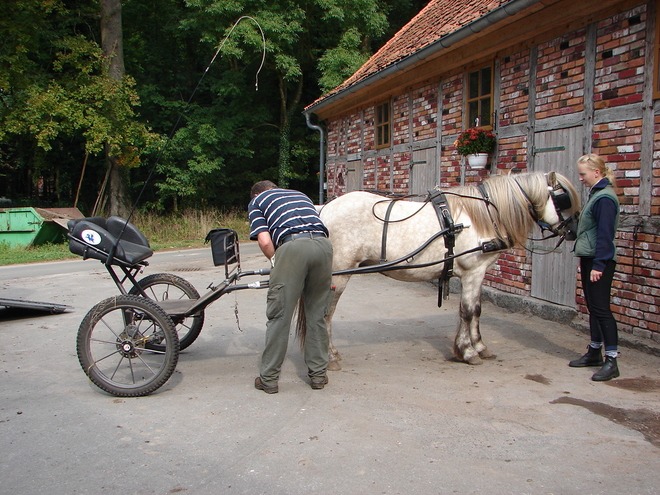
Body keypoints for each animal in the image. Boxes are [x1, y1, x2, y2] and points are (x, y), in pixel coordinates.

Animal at [298, 170, 576, 368]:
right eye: (563, 199)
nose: (572, 232)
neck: (482, 216)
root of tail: (324, 208)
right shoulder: (474, 272)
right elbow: (469, 311)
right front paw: (468, 351)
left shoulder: (477, 274)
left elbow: (475, 311)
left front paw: (478, 346)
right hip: (338, 276)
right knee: (325, 314)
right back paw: (330, 356)